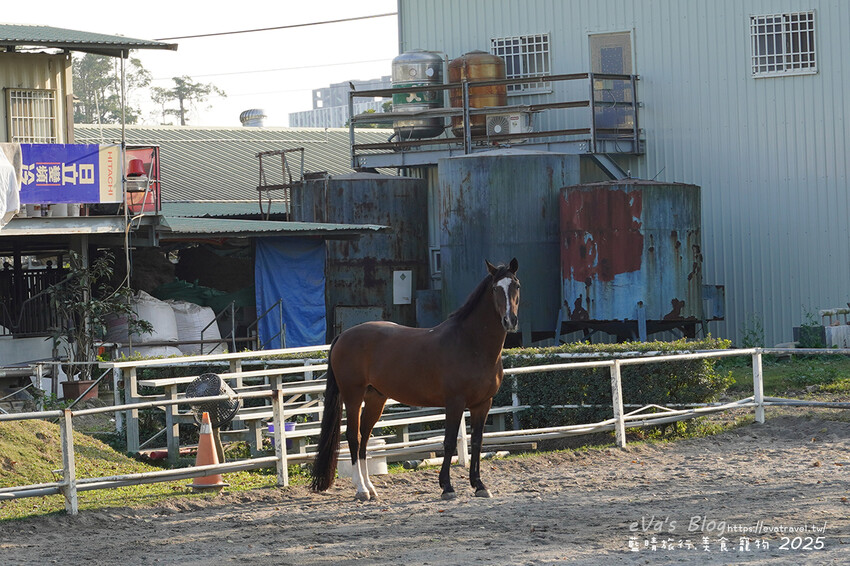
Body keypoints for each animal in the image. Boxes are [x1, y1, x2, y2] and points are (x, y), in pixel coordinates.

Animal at [310, 258, 520, 501]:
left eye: (516, 285)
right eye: (495, 288)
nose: (509, 320)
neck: (470, 343)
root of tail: (342, 336)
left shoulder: (483, 404)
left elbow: (477, 442)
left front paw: (479, 485)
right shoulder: (455, 402)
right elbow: (449, 442)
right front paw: (447, 487)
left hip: (375, 398)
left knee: (365, 437)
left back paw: (371, 488)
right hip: (353, 395)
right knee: (353, 437)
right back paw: (361, 489)